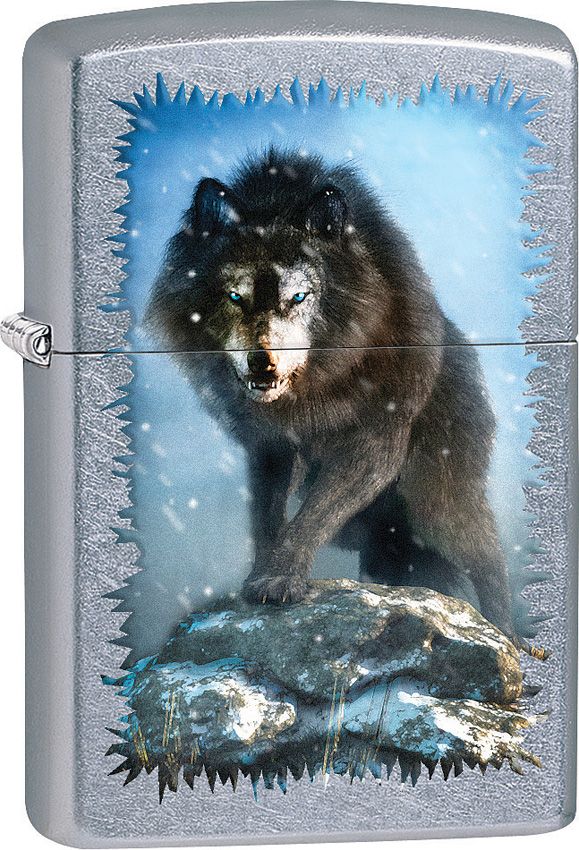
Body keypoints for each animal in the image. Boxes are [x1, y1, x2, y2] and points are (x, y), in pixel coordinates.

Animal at [145, 149, 514, 636]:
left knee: (489, 558)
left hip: (437, 503)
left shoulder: (377, 440)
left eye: (299, 297)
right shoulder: (269, 447)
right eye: (235, 296)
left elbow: (315, 514)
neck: (315, 388)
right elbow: (267, 517)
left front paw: (280, 579)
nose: (262, 362)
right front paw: (261, 577)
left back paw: (510, 637)